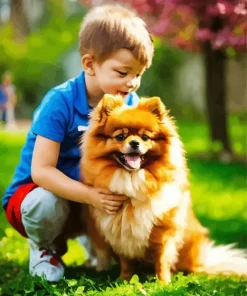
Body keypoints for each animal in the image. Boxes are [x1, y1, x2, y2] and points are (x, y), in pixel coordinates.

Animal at [80, 94, 246, 282]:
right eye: (121, 136)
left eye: (145, 137)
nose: (135, 143)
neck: (133, 178)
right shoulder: (121, 233)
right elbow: (126, 261)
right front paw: (124, 280)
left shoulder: (163, 230)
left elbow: (162, 259)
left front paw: (163, 282)